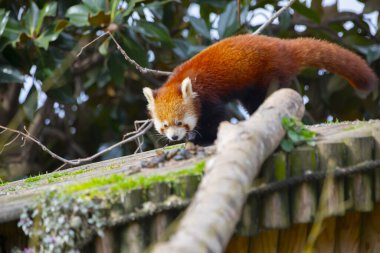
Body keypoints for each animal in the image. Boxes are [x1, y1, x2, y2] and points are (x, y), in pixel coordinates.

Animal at [142, 34, 378, 144]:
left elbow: (215, 117)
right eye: (164, 126)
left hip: (267, 75)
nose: (174, 137)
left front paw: (202, 139)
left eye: (180, 122)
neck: (182, 81)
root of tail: (282, 46)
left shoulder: (209, 96)